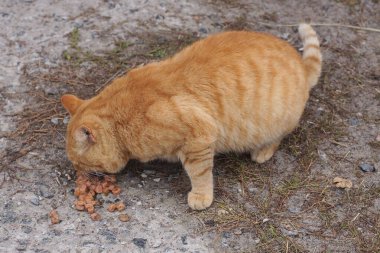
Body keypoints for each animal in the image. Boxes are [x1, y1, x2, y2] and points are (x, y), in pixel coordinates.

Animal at [61, 24, 320, 210]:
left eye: (79, 163)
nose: (77, 173)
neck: (119, 119)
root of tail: (301, 65)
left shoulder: (199, 136)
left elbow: (200, 173)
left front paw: (201, 196)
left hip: (277, 121)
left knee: (278, 137)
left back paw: (262, 151)